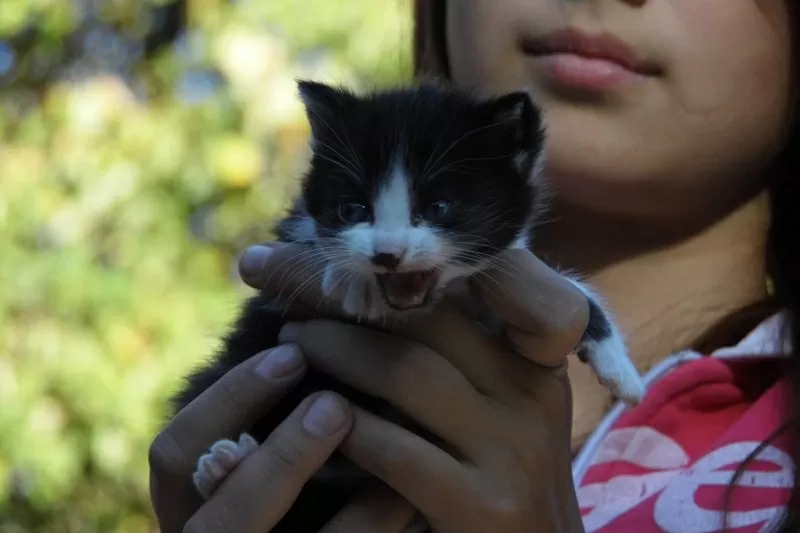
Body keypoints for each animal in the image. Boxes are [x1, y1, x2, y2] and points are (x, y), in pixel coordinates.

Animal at [172, 81, 648, 528]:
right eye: (352, 209)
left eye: (439, 206)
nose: (387, 254)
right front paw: (355, 279)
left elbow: (570, 293)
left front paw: (619, 368)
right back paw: (224, 468)